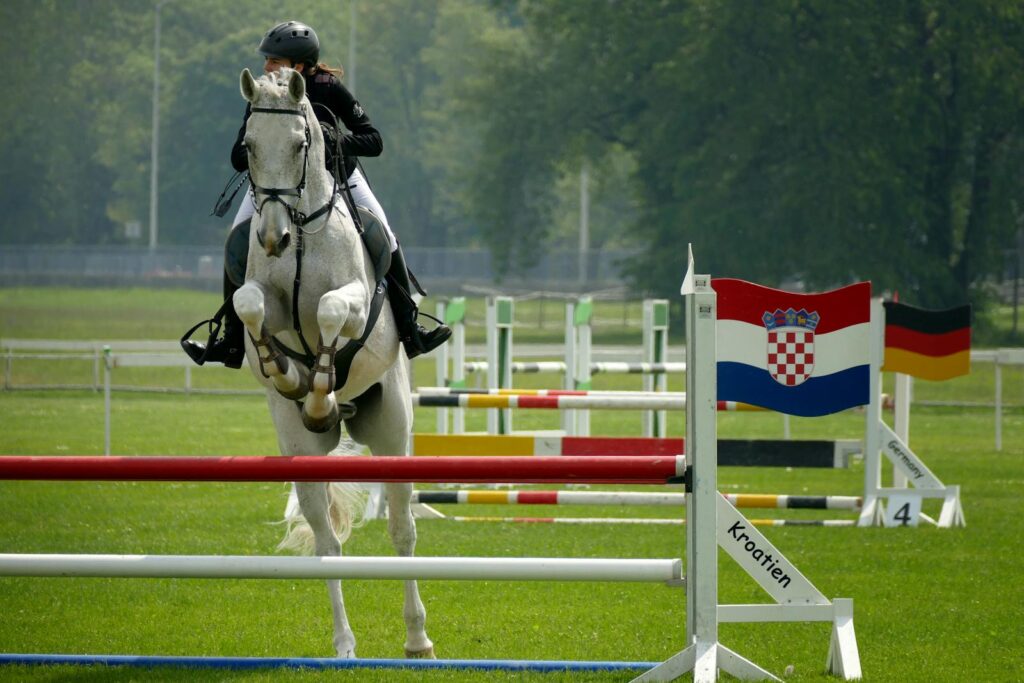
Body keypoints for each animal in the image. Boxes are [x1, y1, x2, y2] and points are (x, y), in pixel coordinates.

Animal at [230, 67, 434, 659]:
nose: (272, 239)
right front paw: (286, 372)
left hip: (392, 431)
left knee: (402, 530)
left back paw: (418, 639)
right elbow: (249, 305)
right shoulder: (263, 297)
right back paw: (344, 643)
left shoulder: (355, 300)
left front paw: (320, 384)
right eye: (249, 146)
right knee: (326, 540)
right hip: (302, 452)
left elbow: (330, 310)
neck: (301, 231)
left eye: (302, 144)